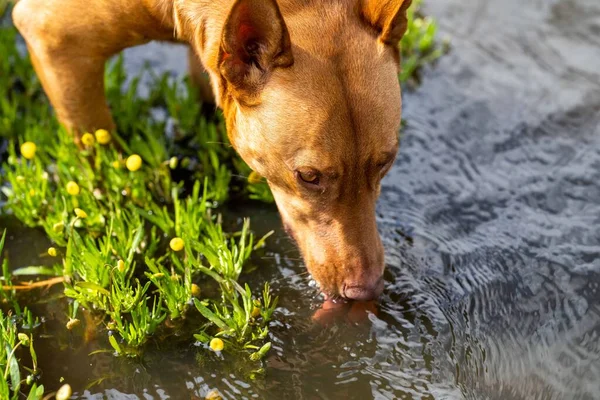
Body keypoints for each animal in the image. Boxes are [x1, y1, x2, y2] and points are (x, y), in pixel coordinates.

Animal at [11, 0, 412, 300]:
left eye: (386, 162)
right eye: (308, 177)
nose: (365, 292)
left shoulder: (208, 52)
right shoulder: (55, 41)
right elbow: (102, 165)